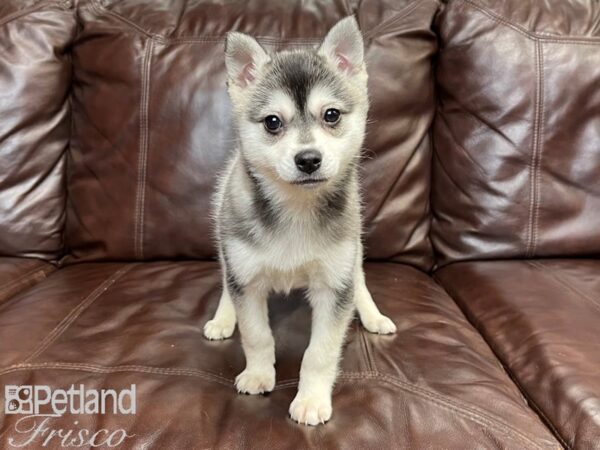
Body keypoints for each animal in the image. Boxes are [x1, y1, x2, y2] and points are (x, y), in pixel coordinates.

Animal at [204, 16, 396, 426]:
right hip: (225, 240)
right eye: (273, 122)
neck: (296, 209)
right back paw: (223, 317)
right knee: (227, 281)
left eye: (332, 115)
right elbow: (256, 334)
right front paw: (258, 374)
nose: (308, 159)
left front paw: (311, 399)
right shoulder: (247, 279)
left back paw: (372, 315)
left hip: (352, 251)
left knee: (359, 279)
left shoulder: (334, 284)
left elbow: (320, 352)